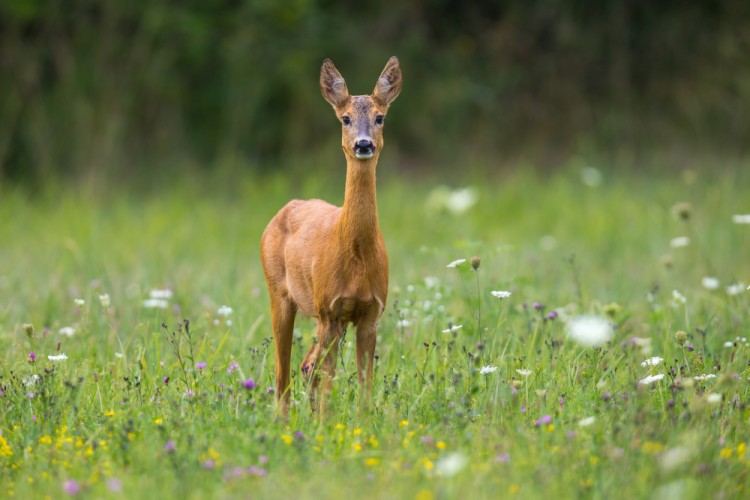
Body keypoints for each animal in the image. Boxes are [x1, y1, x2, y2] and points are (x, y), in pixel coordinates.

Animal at [264, 56, 406, 414]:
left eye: (380, 117)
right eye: (345, 118)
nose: (363, 144)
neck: (356, 255)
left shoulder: (370, 312)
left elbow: (365, 382)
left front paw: (361, 420)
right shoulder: (330, 308)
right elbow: (329, 379)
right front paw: (328, 423)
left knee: (306, 364)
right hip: (280, 293)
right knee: (283, 372)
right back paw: (284, 421)